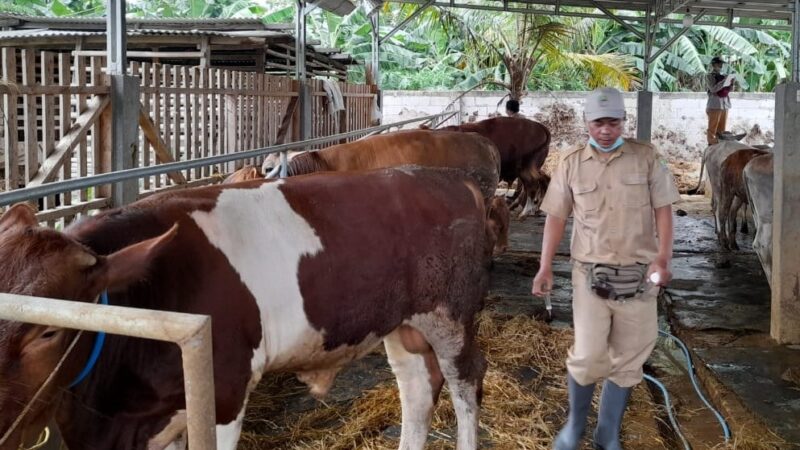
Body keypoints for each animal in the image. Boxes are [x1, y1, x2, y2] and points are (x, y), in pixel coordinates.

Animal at [0, 166, 488, 450]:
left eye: (48, 331)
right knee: (417, 388)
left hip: (451, 314)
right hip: (402, 322)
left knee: (466, 384)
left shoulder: (224, 391)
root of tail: (443, 176)